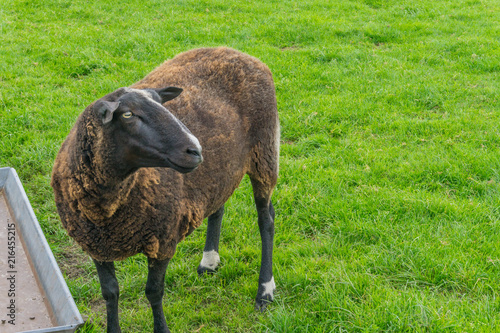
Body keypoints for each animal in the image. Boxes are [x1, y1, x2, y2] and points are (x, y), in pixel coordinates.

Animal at [52, 47, 280, 332]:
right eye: (127, 115)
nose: (196, 149)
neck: (108, 211)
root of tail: (237, 52)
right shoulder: (95, 245)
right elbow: (110, 293)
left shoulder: (162, 240)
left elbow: (153, 291)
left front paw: (161, 328)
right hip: (221, 169)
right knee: (218, 206)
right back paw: (209, 261)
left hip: (265, 151)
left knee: (266, 220)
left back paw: (265, 291)